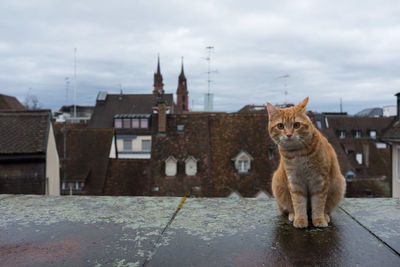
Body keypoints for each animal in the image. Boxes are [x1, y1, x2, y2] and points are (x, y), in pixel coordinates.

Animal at [268, 97, 346, 229]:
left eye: (296, 125)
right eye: (280, 126)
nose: (289, 134)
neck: (297, 154)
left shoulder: (319, 181)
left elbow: (318, 204)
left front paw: (319, 219)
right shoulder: (295, 182)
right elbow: (298, 203)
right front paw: (300, 219)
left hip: (339, 186)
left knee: (326, 208)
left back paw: (325, 215)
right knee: (287, 209)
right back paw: (293, 215)